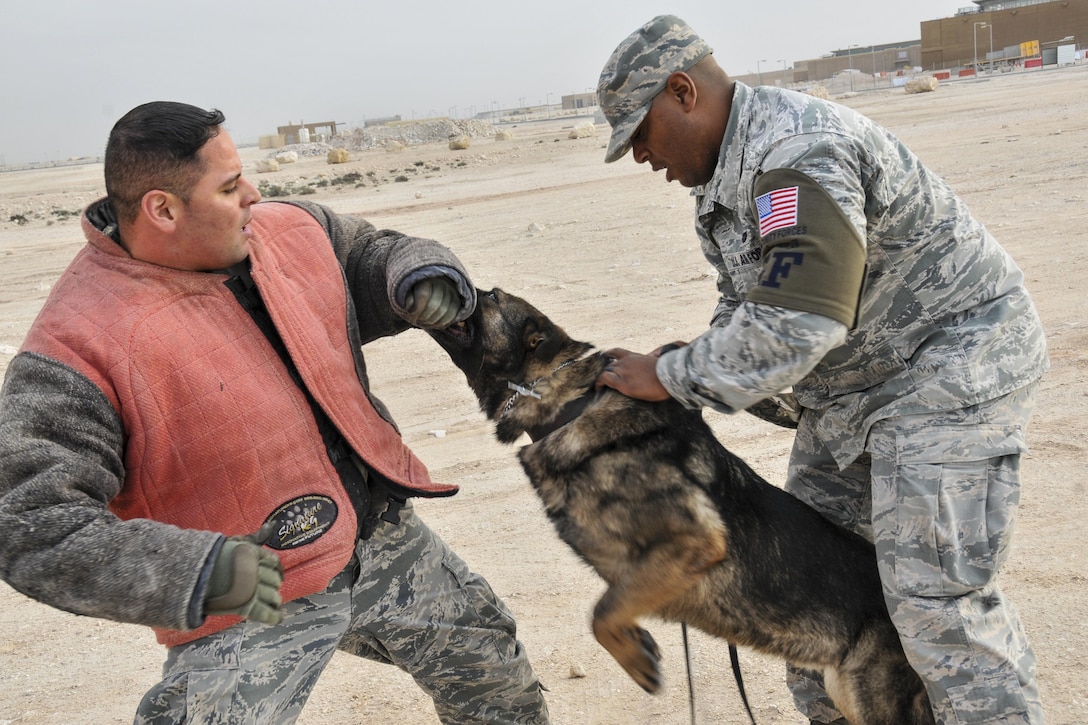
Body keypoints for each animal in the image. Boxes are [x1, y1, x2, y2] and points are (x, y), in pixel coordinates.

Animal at [424, 287, 935, 722]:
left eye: (491, 297)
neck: (572, 405)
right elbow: (609, 608)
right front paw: (636, 644)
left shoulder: (693, 543)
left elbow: (600, 613)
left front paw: (637, 660)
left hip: (866, 693)